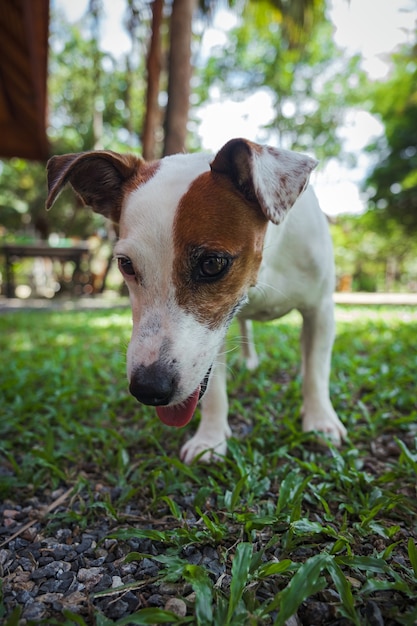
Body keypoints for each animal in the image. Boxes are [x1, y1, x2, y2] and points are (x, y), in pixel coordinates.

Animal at [45, 139, 346, 460]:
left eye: (212, 264)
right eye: (126, 264)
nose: (148, 388)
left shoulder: (320, 310)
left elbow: (317, 372)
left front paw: (320, 422)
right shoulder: (211, 338)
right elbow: (212, 388)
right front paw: (210, 440)